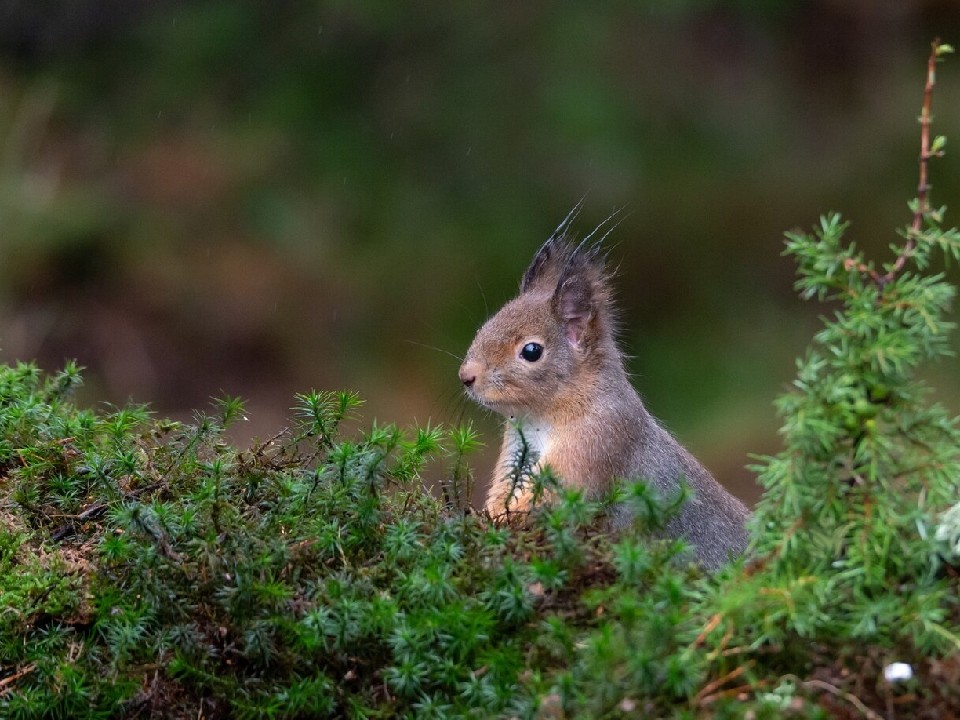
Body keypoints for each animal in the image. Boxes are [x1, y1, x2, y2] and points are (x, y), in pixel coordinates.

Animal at [458, 207, 752, 568]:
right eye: (486, 325)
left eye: (532, 351)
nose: (466, 376)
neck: (541, 418)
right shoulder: (516, 455)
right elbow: (503, 494)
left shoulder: (597, 443)